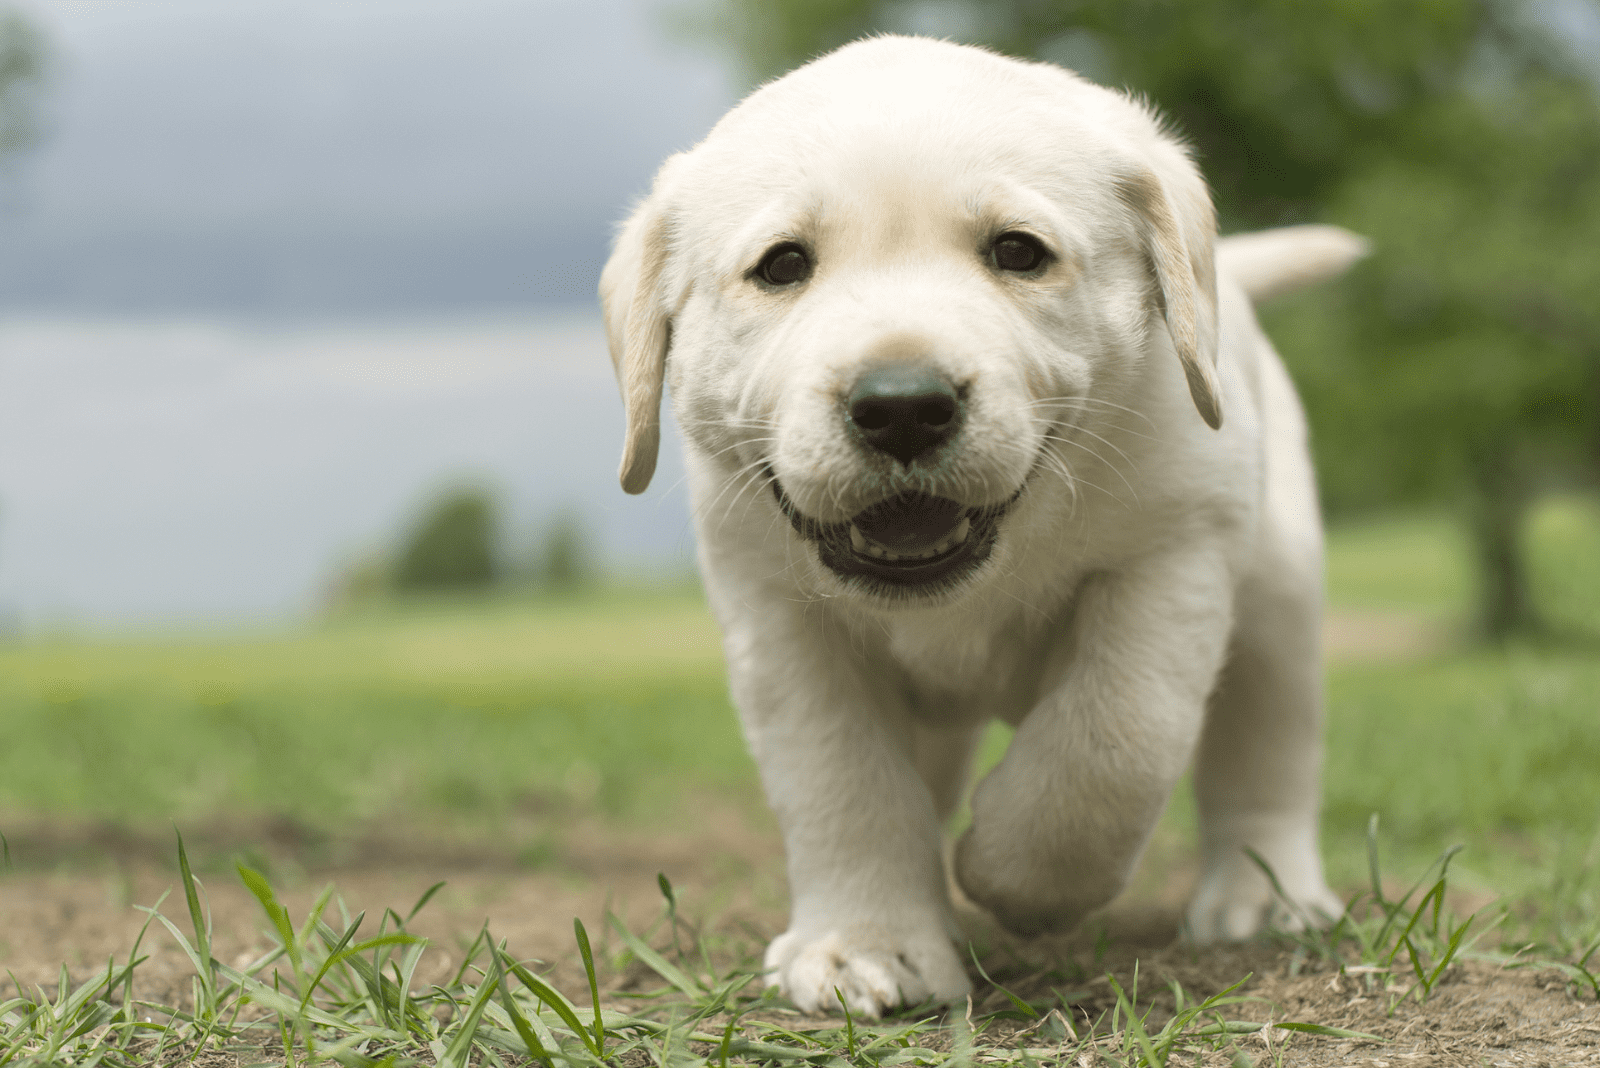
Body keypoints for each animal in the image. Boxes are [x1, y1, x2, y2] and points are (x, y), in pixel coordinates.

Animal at [601, 35, 1363, 1016]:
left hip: (1277, 591)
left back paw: (1264, 897)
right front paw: (866, 943)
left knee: (1268, 750)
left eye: (1018, 252)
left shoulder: (1177, 549)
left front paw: (1018, 876)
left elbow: (1115, 737)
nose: (902, 407)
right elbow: (842, 780)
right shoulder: (778, 619)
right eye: (782, 266)